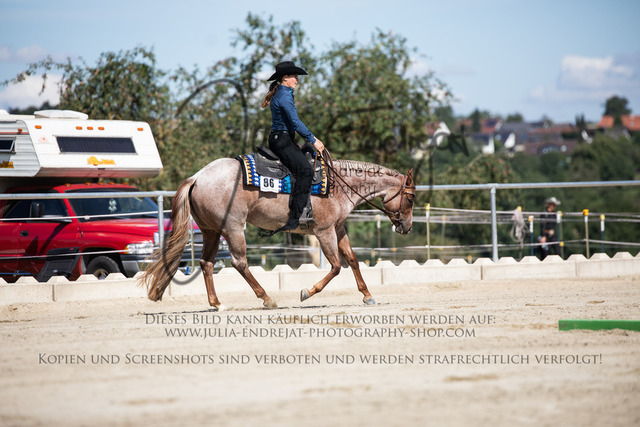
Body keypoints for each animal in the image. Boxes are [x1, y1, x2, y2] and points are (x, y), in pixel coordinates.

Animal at [142, 154, 416, 310]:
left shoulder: (338, 228)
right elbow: (337, 266)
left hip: (212, 230)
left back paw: (217, 303)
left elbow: (353, 260)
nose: (407, 227)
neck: (339, 185)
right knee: (239, 262)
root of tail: (197, 177)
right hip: (233, 227)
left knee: (206, 263)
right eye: (411, 199)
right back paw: (266, 298)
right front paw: (307, 292)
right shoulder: (324, 231)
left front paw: (367, 295)